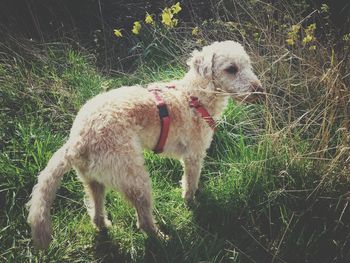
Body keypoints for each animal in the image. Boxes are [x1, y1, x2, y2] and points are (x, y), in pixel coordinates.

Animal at [26, 40, 262, 250]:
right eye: (231, 69)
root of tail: (77, 141)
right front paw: (192, 203)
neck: (195, 96)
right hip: (136, 179)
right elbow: (190, 185)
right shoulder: (193, 157)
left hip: (94, 182)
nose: (259, 90)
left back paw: (106, 228)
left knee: (96, 215)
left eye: (248, 65)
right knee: (144, 222)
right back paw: (164, 239)